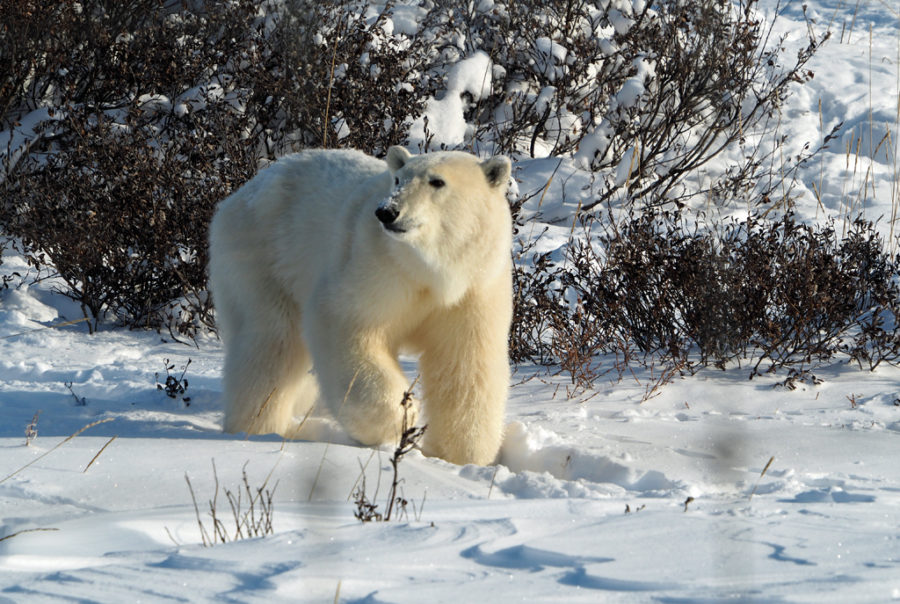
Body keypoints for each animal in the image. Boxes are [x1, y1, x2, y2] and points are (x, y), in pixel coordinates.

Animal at [207, 146, 510, 468]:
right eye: (398, 179)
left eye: (437, 182)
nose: (388, 211)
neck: (429, 271)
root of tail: (239, 194)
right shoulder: (377, 265)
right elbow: (346, 323)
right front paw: (401, 415)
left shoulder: (474, 289)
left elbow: (465, 366)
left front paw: (463, 456)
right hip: (262, 257)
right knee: (272, 343)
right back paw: (257, 427)